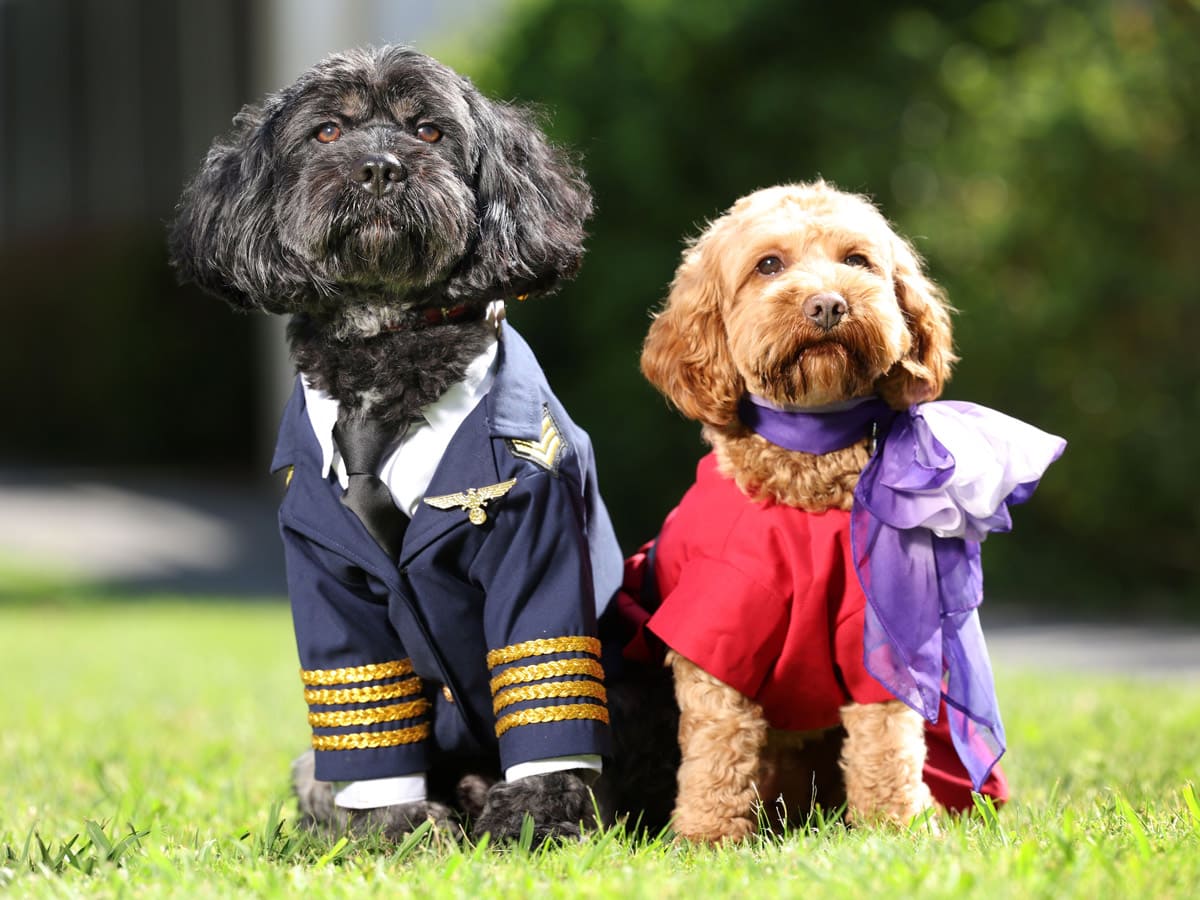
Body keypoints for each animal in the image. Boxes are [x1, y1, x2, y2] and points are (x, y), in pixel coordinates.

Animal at [169, 44, 676, 844]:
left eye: (429, 130)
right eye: (327, 132)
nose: (380, 168)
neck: (388, 349)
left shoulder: (536, 544)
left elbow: (543, 675)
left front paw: (537, 817)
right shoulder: (326, 575)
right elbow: (366, 704)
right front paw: (395, 825)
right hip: (315, 759)